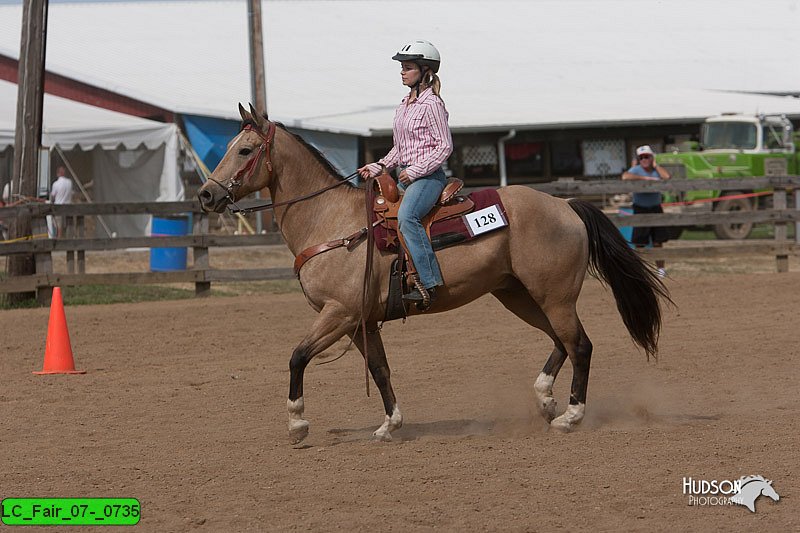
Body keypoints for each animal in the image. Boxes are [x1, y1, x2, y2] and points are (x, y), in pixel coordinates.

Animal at [198, 105, 668, 444]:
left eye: (244, 150)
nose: (205, 195)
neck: (330, 222)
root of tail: (566, 205)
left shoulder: (340, 313)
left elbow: (297, 356)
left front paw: (297, 424)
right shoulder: (362, 322)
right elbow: (380, 370)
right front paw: (390, 424)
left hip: (554, 296)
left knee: (580, 345)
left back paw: (570, 416)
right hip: (519, 295)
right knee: (561, 342)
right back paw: (546, 401)